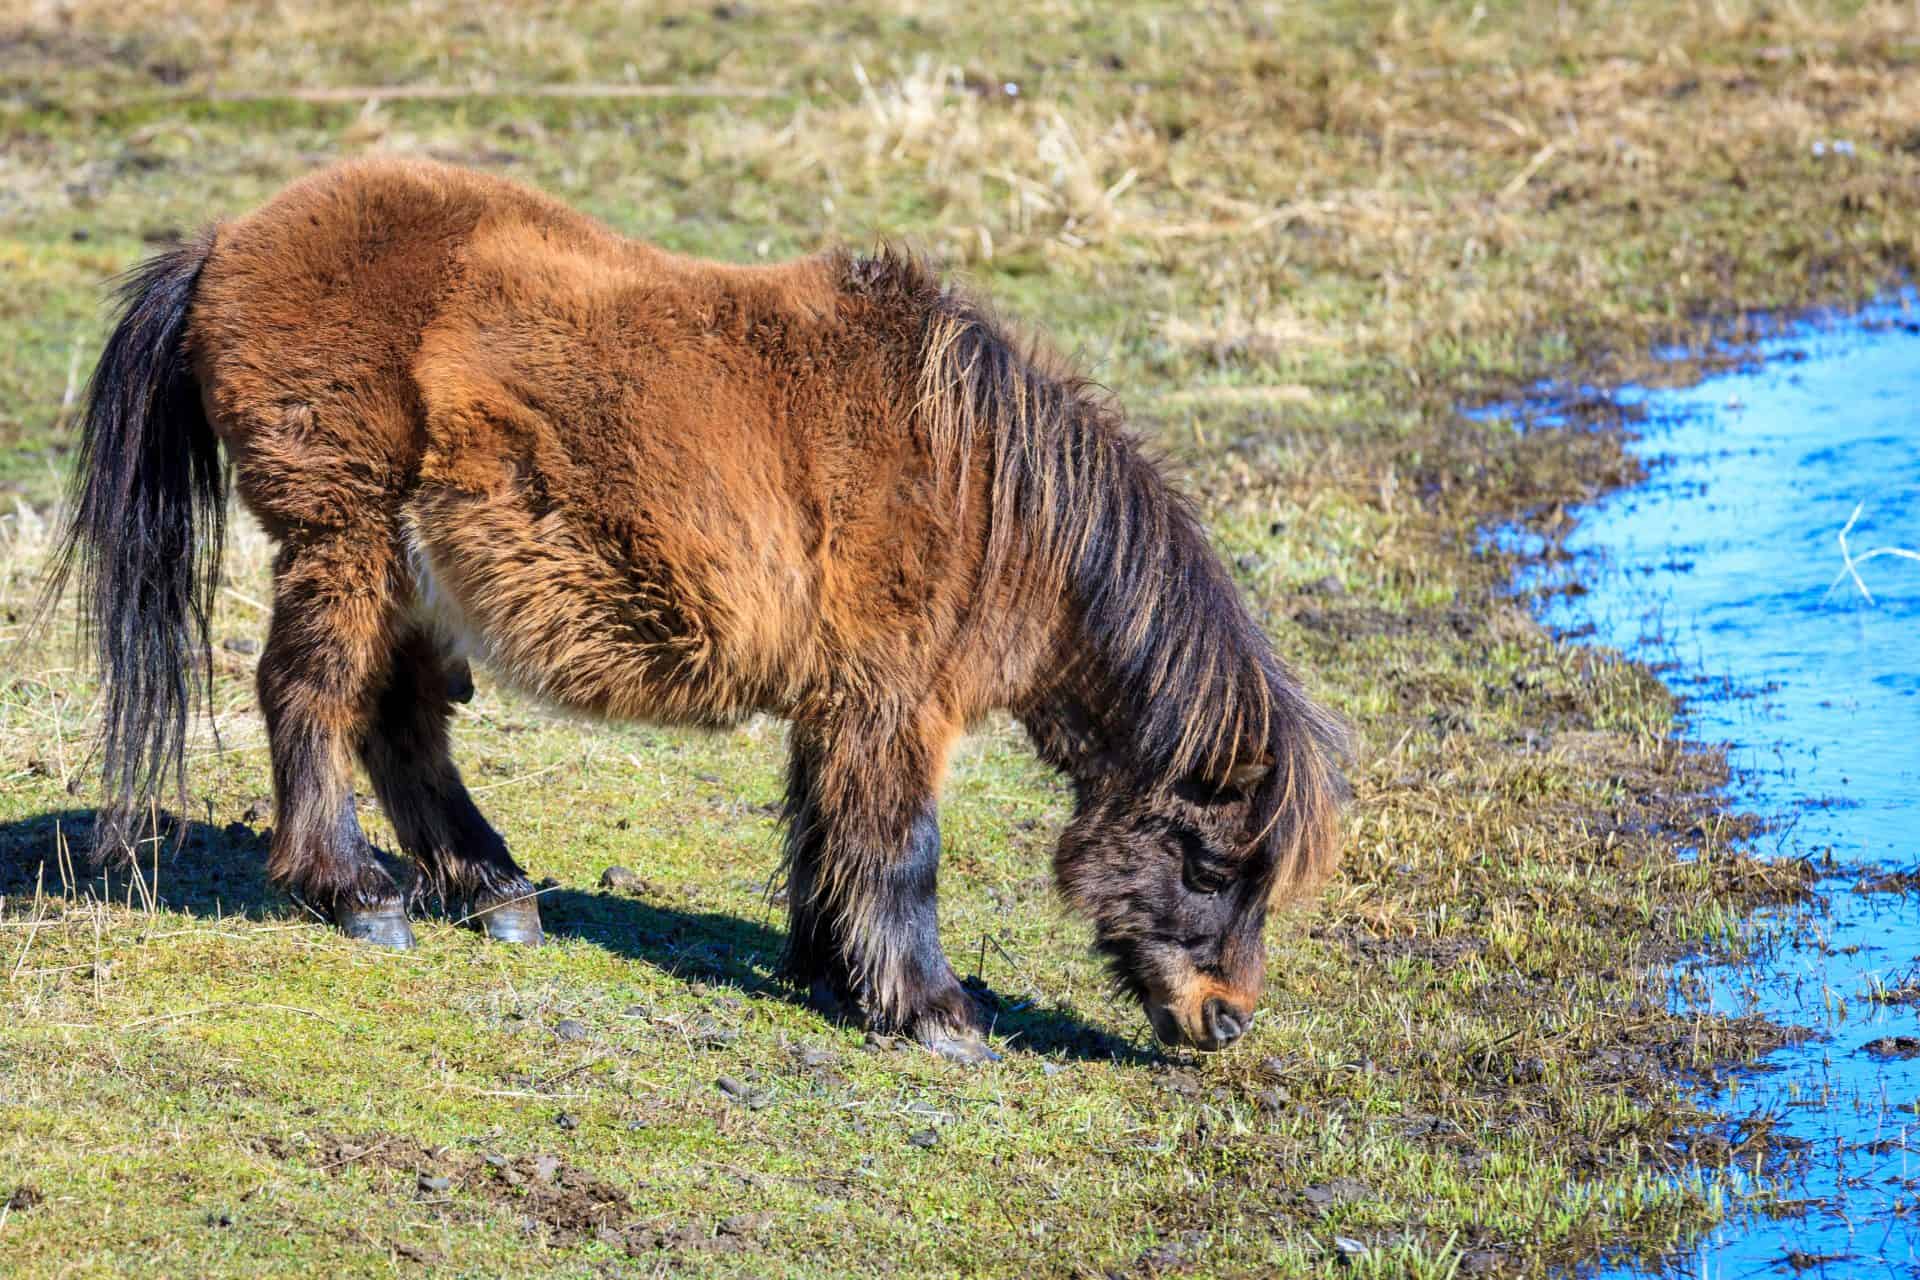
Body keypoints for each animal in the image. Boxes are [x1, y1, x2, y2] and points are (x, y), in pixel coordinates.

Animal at [41, 157, 1336, 1059]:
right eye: (1209, 863)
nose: (1228, 1017)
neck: (989, 493)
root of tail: (225, 243)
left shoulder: (842, 702)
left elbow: (825, 828)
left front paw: (831, 972)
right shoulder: (894, 704)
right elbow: (902, 848)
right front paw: (935, 1011)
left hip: (407, 568)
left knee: (398, 722)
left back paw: (497, 894)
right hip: (344, 536)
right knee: (310, 696)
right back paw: (355, 893)